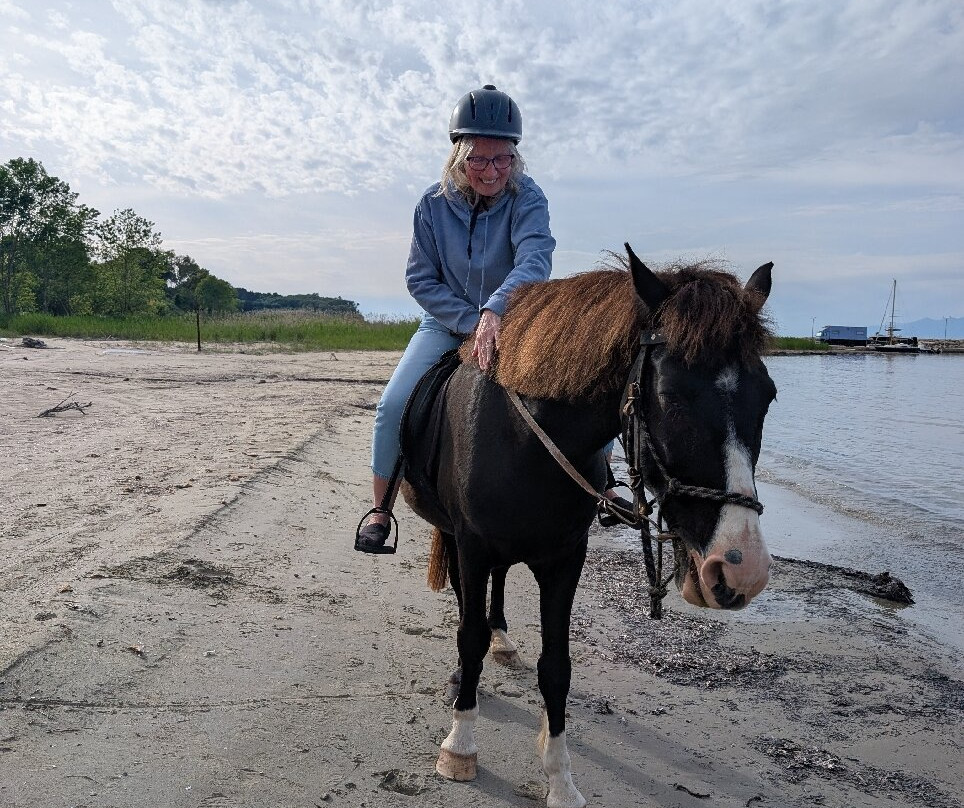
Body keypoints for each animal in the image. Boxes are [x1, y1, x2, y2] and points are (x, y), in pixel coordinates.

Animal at [400, 244, 776, 808]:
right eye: (672, 396)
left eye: (768, 395)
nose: (741, 569)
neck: (526, 441)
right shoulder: (471, 546)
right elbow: (468, 637)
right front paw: (460, 746)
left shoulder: (565, 558)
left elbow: (557, 668)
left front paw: (560, 779)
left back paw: (502, 639)